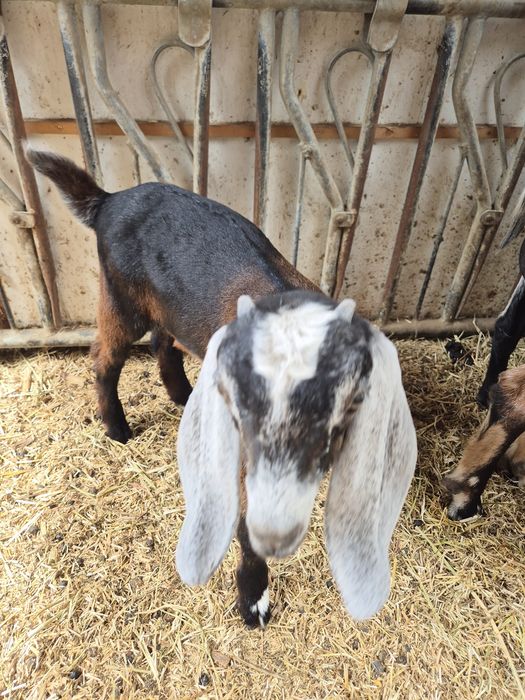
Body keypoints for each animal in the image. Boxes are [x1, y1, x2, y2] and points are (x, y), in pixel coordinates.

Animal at [29, 150, 417, 626]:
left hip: (169, 307)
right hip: (121, 301)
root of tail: (110, 199)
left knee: (163, 343)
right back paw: (117, 428)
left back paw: (182, 397)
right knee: (105, 357)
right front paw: (253, 600)